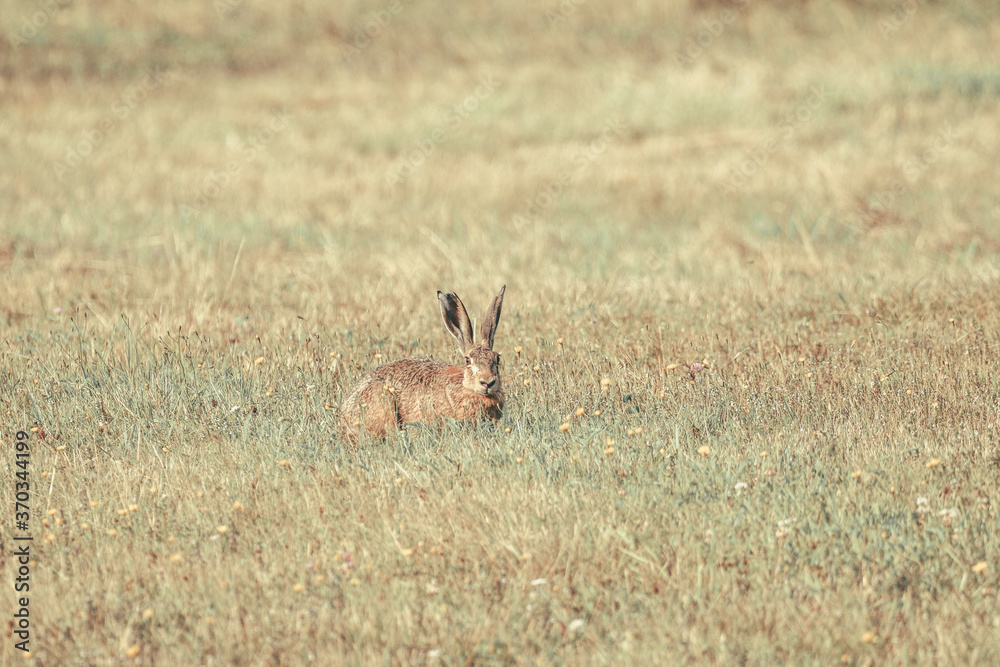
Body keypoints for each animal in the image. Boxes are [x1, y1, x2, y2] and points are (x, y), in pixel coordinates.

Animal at [338, 286, 506, 442]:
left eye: (497, 358)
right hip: (382, 399)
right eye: (468, 360)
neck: (466, 387)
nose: (487, 382)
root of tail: (344, 415)